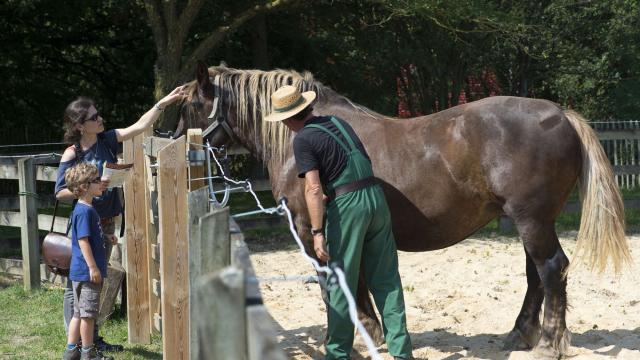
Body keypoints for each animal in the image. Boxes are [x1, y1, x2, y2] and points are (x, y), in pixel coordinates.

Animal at [175, 62, 632, 358]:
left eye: (191, 106)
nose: (179, 147)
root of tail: (561, 114)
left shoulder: (313, 231)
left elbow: (339, 285)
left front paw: (363, 336)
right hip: (532, 221)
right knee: (536, 274)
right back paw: (520, 335)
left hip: (532, 220)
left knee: (551, 269)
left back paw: (548, 345)